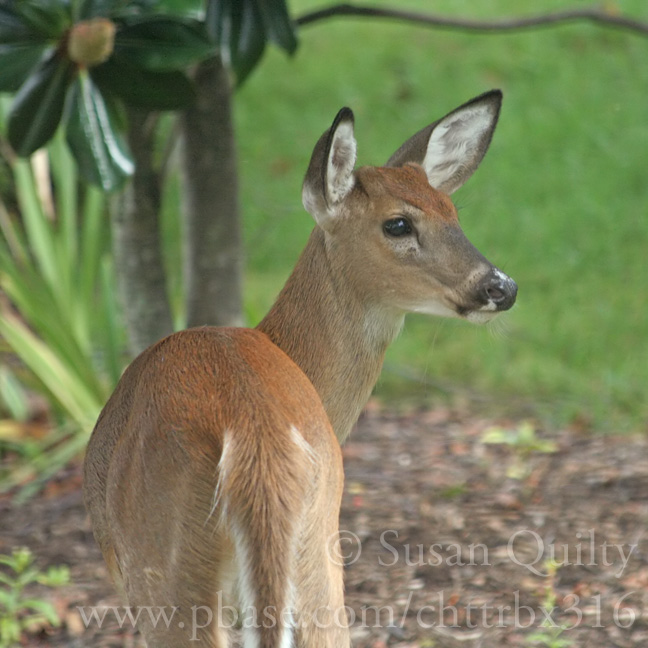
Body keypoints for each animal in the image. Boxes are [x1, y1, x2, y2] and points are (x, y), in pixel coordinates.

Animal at [83, 87, 516, 648]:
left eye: (453, 214)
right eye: (398, 223)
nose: (501, 286)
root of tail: (254, 433)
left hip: (164, 565)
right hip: (316, 551)